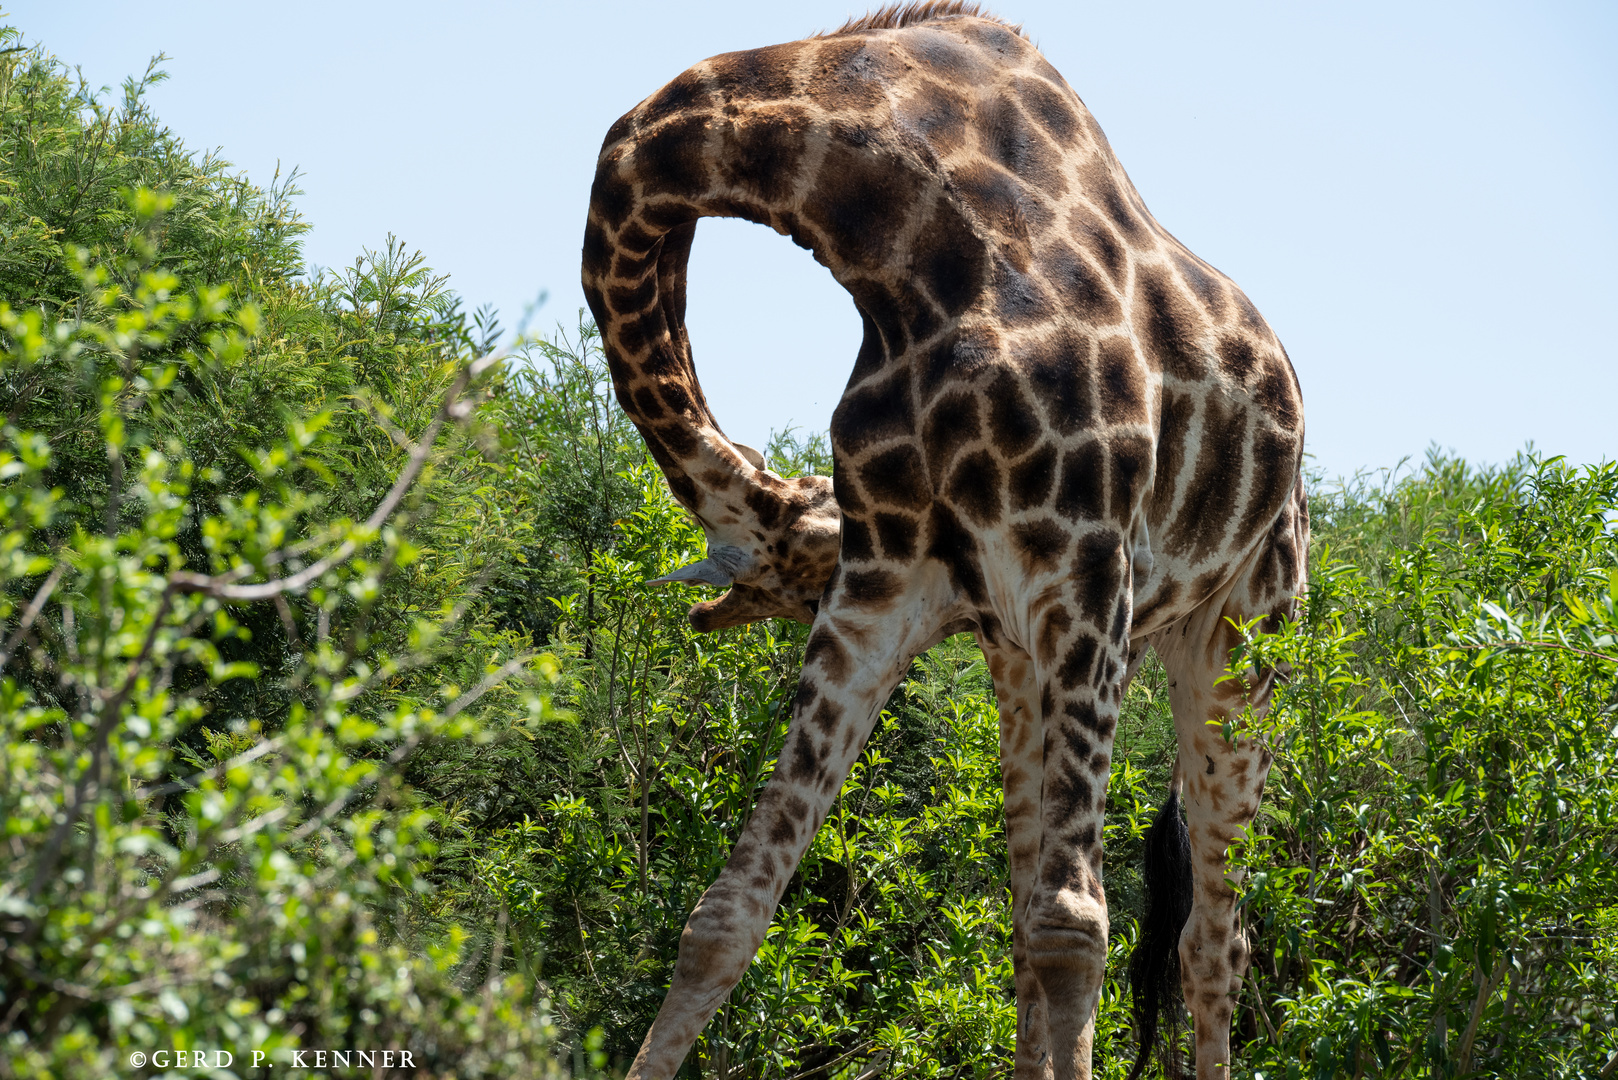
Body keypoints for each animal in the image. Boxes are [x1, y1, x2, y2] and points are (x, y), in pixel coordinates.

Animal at [576, 4, 1307, 1075]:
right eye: (817, 578)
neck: (897, 245)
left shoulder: (1085, 563)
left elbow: (1075, 926)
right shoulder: (887, 584)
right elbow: (729, 909)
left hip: (1239, 642)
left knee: (1212, 939)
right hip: (1028, 659)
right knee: (1034, 912)